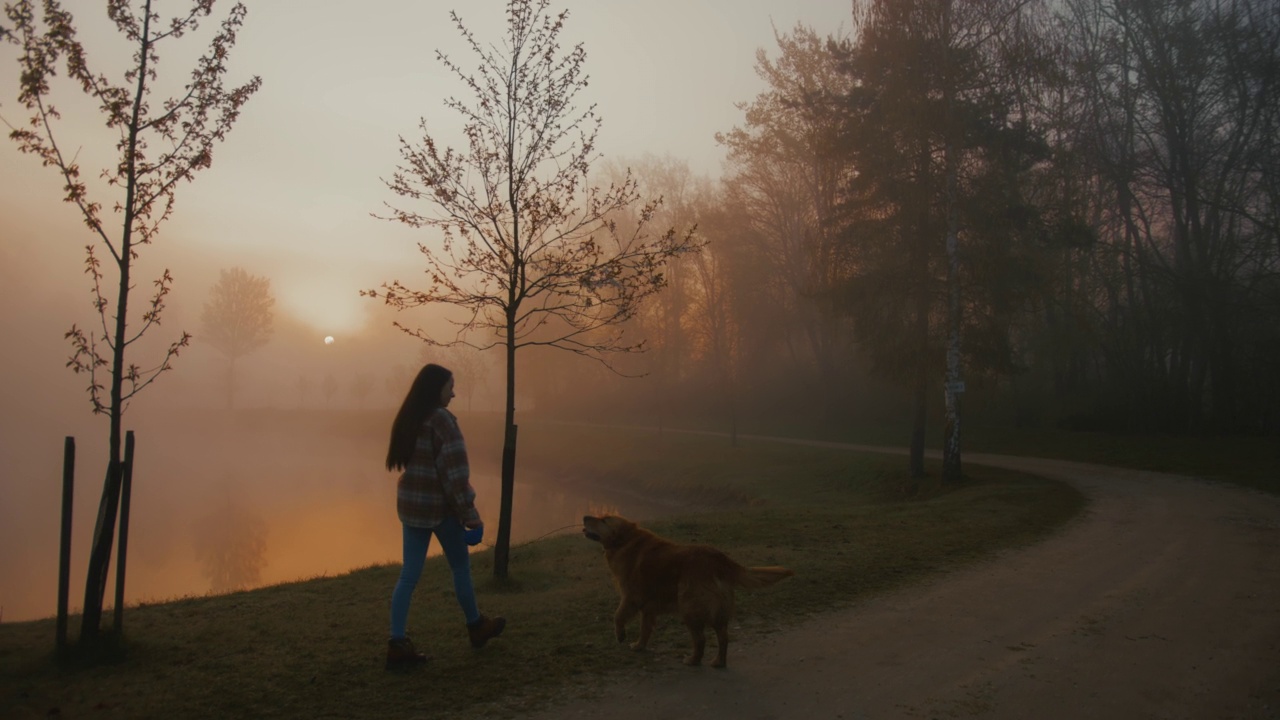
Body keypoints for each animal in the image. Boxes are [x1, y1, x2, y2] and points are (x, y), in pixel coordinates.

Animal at [586, 512, 793, 666]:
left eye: (604, 520)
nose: (585, 517)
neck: (625, 541)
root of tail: (719, 558)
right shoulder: (648, 606)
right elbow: (645, 629)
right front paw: (639, 646)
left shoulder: (631, 596)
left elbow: (618, 616)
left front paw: (620, 635)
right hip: (717, 612)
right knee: (723, 637)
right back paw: (718, 662)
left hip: (689, 607)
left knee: (700, 640)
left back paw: (693, 660)